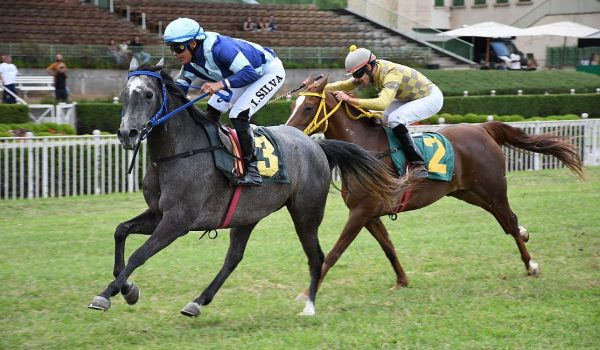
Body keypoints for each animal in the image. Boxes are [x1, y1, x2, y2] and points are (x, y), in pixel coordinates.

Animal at [86, 58, 406, 318]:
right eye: (125, 95)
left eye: (148, 94)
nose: (127, 134)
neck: (178, 152)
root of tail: (315, 144)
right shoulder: (158, 213)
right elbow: (121, 231)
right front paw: (126, 288)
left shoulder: (178, 221)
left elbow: (139, 255)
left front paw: (106, 294)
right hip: (247, 215)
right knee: (233, 259)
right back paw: (197, 303)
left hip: (306, 213)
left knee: (317, 256)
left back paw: (309, 306)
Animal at [288, 77, 584, 296]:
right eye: (293, 106)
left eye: (307, 108)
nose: (287, 132)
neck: (366, 150)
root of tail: (483, 129)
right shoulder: (370, 213)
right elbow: (388, 246)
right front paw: (402, 281)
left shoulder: (362, 211)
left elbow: (334, 252)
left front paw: (306, 293)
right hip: (469, 192)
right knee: (507, 221)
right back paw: (524, 234)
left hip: (493, 188)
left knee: (508, 220)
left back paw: (530, 264)